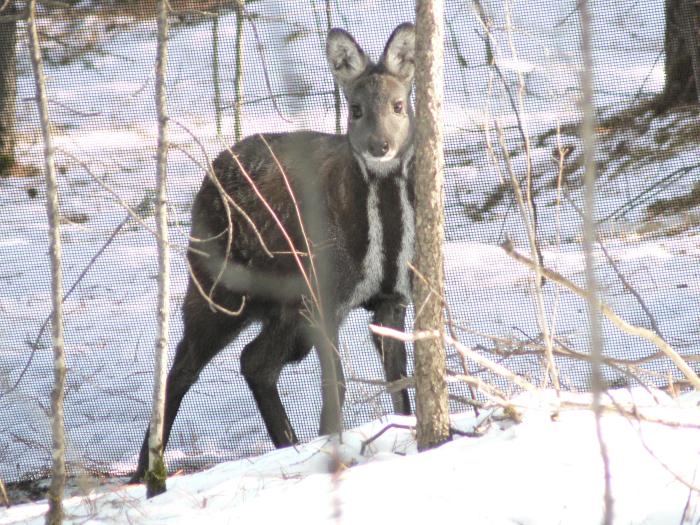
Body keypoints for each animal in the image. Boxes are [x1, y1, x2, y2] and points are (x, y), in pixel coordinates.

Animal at [133, 22, 416, 478]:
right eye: (355, 109)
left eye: (398, 105)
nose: (380, 146)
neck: (380, 249)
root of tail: (207, 178)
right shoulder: (324, 293)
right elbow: (335, 382)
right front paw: (332, 445)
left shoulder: (394, 298)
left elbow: (399, 378)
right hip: (217, 283)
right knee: (183, 365)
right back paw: (147, 471)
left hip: (283, 306)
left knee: (255, 362)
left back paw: (288, 445)